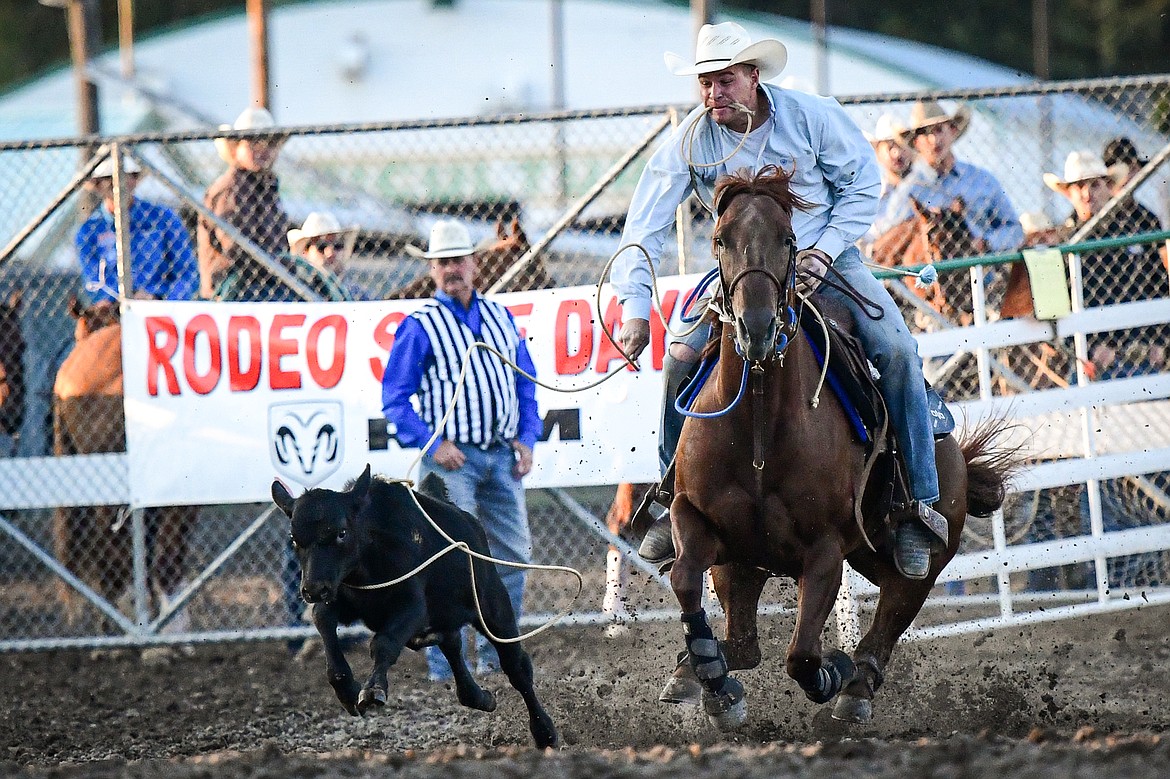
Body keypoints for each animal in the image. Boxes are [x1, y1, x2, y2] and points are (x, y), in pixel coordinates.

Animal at [269, 460, 556, 748]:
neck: (371, 557)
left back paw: (544, 732)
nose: (312, 589)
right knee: (452, 646)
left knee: (517, 668)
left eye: (341, 533)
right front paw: (347, 691)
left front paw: (373, 690)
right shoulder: (339, 599)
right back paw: (479, 696)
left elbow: (383, 643)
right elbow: (323, 621)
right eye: (294, 539)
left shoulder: (411, 608)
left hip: (494, 607)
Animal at [669, 164, 1015, 729]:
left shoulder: (826, 552)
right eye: (720, 239)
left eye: (789, 240)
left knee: (885, 628)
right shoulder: (698, 520)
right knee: (744, 644)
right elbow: (683, 580)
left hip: (914, 561)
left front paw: (832, 671)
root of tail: (955, 455)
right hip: (782, 560)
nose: (757, 326)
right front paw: (713, 684)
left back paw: (854, 691)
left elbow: (803, 657)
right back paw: (697, 673)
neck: (760, 430)